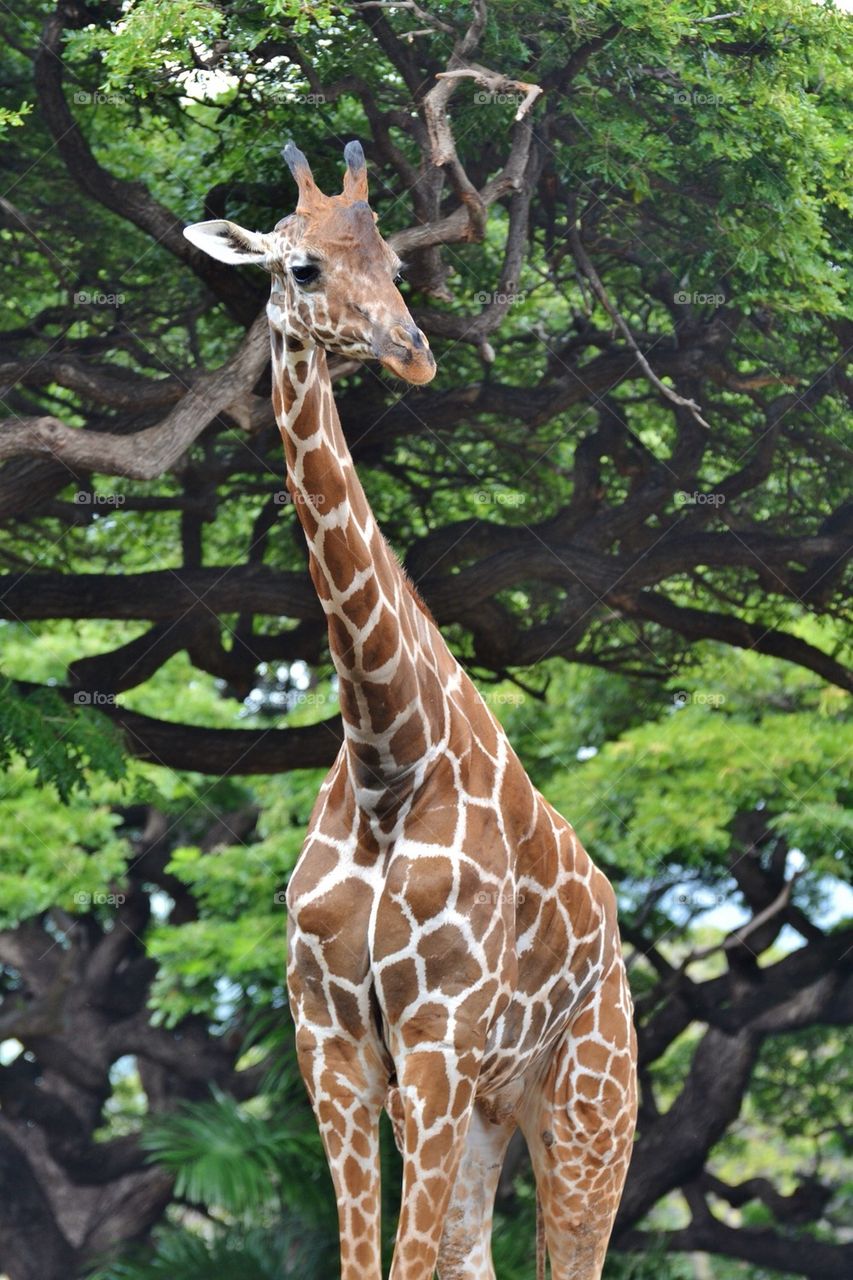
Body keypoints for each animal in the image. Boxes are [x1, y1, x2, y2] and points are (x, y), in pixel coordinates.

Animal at [184, 141, 637, 1280]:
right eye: (301, 267)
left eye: (393, 260)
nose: (414, 349)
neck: (387, 751)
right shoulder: (334, 1045)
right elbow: (367, 1262)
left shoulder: (436, 1039)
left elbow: (400, 1263)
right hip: (491, 1104)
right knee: (474, 1252)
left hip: (586, 1102)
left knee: (570, 1249)